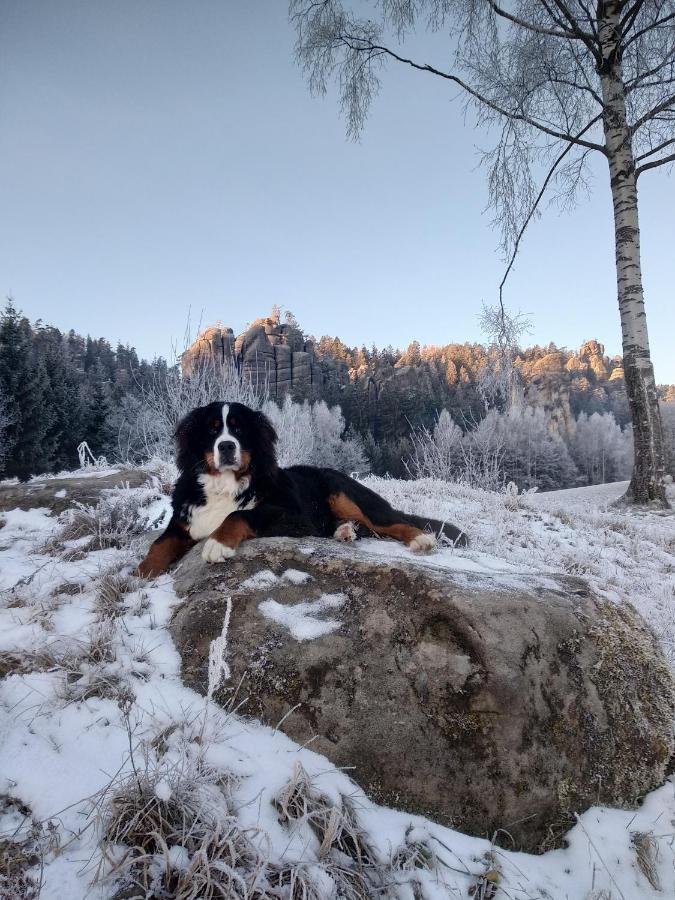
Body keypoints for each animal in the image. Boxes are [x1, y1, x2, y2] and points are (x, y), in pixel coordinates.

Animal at [135, 400, 468, 576]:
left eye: (240, 429)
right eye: (212, 429)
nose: (227, 446)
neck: (223, 485)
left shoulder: (292, 515)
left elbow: (238, 515)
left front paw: (218, 543)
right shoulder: (183, 520)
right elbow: (159, 544)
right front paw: (142, 572)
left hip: (344, 493)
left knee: (391, 521)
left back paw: (421, 539)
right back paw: (344, 531)